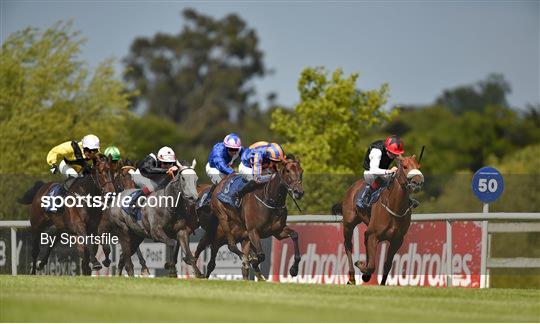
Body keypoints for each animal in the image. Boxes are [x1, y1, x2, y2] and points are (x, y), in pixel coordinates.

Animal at [332, 154, 424, 284]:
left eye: (418, 166)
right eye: (405, 166)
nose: (418, 182)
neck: (394, 208)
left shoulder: (397, 239)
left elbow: (387, 265)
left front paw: (380, 282)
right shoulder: (374, 235)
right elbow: (371, 265)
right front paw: (361, 266)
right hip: (349, 223)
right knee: (348, 245)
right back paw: (352, 278)